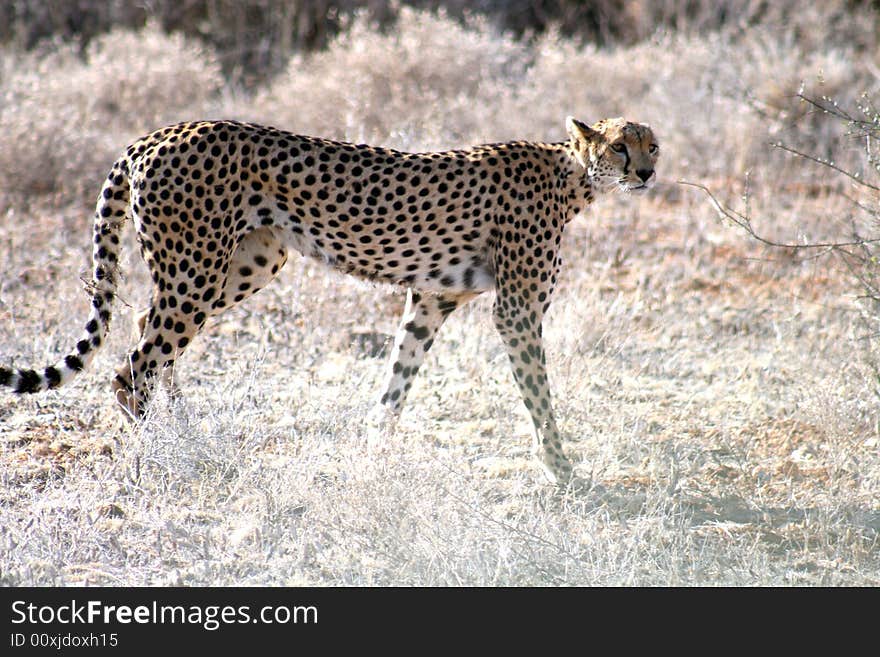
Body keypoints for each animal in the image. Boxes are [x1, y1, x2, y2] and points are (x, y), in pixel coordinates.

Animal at [1, 116, 660, 486]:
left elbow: (398, 378)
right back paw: (161, 452)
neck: (573, 175)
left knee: (145, 328)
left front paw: (373, 450)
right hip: (198, 270)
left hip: (246, 263)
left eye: (652, 146)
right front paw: (562, 470)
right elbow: (539, 398)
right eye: (620, 148)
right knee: (132, 367)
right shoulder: (517, 313)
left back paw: (183, 426)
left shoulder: (431, 298)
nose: (648, 174)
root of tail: (154, 134)